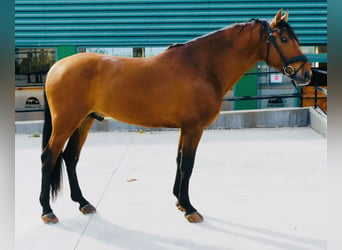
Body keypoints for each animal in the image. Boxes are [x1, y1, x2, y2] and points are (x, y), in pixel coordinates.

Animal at [38, 9, 312, 224]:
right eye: (284, 39)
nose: (307, 74)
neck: (203, 67)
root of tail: (56, 67)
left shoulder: (185, 128)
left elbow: (180, 161)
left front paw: (180, 202)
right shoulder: (194, 128)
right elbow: (188, 165)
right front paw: (190, 208)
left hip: (84, 121)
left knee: (70, 158)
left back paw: (83, 203)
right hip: (66, 123)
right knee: (49, 157)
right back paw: (47, 210)